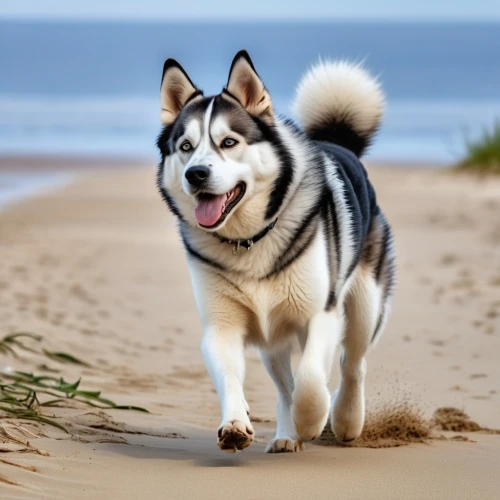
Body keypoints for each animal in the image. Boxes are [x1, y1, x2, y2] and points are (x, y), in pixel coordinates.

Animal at [156, 50, 394, 454]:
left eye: (229, 142)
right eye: (185, 147)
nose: (195, 174)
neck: (248, 240)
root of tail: (340, 146)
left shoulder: (322, 313)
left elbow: (311, 379)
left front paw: (312, 419)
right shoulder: (221, 327)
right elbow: (234, 378)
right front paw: (236, 422)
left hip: (364, 305)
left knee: (352, 363)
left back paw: (345, 418)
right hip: (272, 339)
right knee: (285, 386)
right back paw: (286, 434)